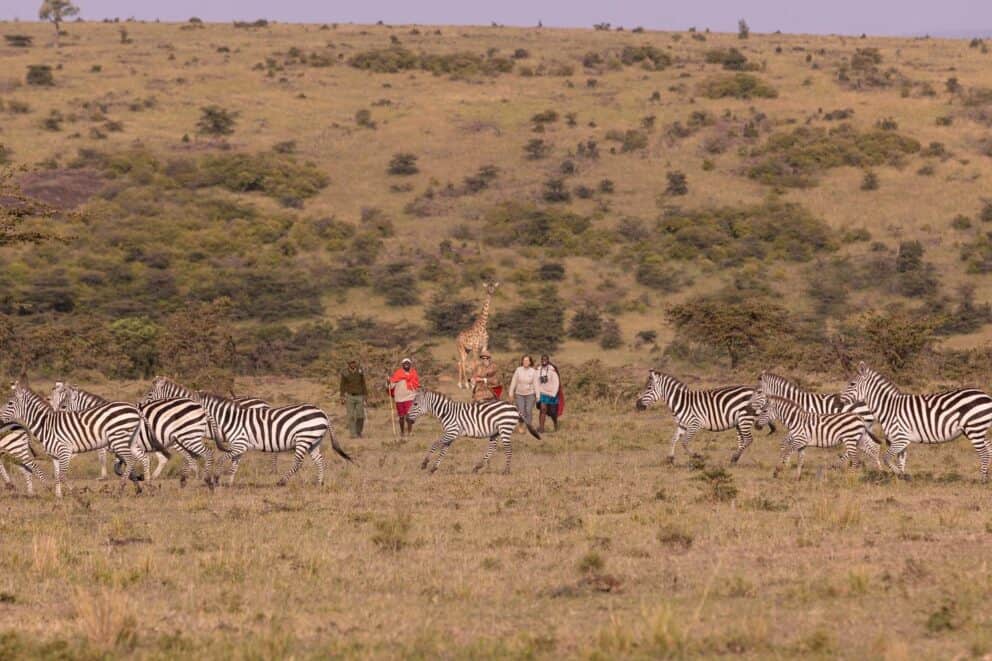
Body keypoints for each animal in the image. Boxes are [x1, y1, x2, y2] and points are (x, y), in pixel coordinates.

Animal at [1, 379, 159, 496]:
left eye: (10, 403)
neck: (46, 424)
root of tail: (134, 409)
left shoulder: (64, 451)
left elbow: (62, 476)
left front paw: (76, 492)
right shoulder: (55, 456)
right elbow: (57, 476)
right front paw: (58, 497)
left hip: (119, 439)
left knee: (130, 460)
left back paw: (120, 490)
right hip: (131, 440)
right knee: (143, 458)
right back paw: (148, 487)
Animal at [406, 389, 541, 475]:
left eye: (415, 403)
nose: (407, 419)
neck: (446, 412)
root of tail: (515, 407)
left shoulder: (452, 432)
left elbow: (435, 444)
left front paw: (425, 463)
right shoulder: (451, 435)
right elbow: (443, 451)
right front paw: (433, 468)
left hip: (505, 429)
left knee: (508, 450)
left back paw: (506, 471)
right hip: (495, 432)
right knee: (492, 448)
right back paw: (477, 467)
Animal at [634, 370, 769, 464]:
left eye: (649, 388)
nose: (638, 405)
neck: (681, 402)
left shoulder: (695, 424)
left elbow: (684, 442)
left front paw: (697, 457)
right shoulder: (682, 425)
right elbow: (673, 440)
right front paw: (670, 459)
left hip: (745, 418)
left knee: (748, 439)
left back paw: (734, 458)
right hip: (739, 422)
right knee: (742, 440)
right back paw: (734, 460)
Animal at [841, 361, 992, 480]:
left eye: (852, 384)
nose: (840, 401)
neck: (889, 407)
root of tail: (985, 395)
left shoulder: (900, 438)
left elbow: (886, 458)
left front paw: (900, 475)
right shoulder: (902, 441)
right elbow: (901, 461)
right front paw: (902, 478)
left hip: (974, 428)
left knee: (984, 453)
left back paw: (982, 480)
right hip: (974, 430)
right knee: (989, 448)